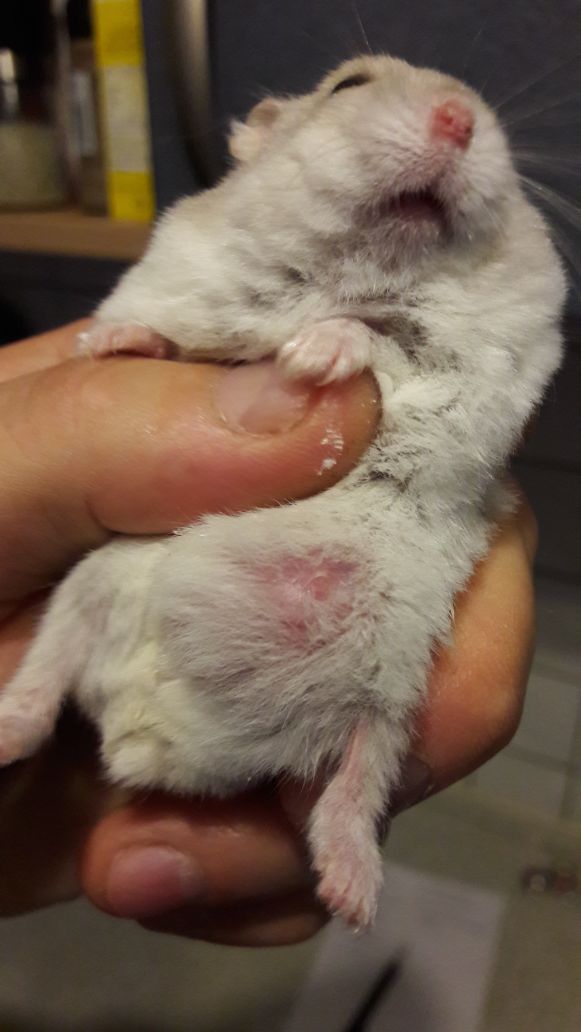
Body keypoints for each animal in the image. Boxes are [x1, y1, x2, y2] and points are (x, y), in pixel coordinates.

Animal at [0, 56, 566, 929]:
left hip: (392, 677)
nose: (458, 119)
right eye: (350, 85)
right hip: (88, 588)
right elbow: (174, 338)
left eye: (482, 111)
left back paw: (350, 893)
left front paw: (312, 354)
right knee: (46, 674)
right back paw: (7, 729)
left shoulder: (478, 373)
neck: (364, 271)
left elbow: (386, 344)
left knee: (357, 775)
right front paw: (107, 343)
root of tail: (149, 745)